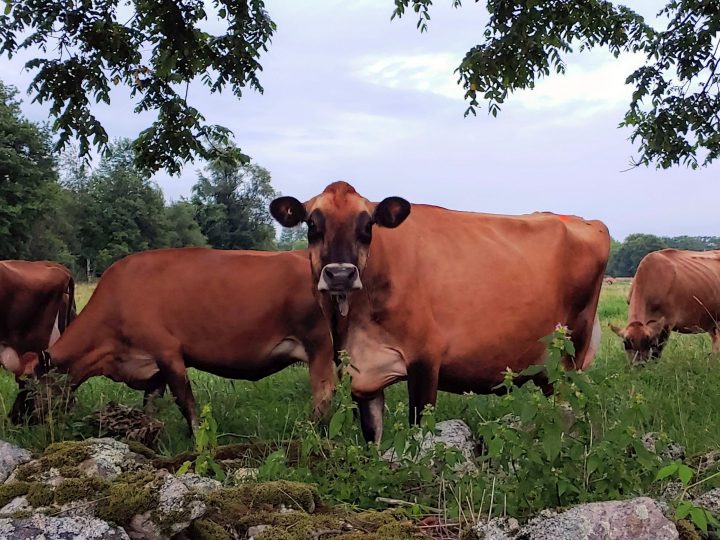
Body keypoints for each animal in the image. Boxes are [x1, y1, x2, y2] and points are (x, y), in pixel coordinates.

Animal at [11, 248, 336, 432]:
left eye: (28, 386)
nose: (14, 419)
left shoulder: (168, 353)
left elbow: (186, 404)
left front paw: (198, 441)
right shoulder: (152, 366)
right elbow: (149, 406)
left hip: (319, 342)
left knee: (324, 393)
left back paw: (310, 432)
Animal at [270, 181, 610, 443]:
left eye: (367, 226)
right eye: (313, 225)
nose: (340, 274)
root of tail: (586, 221)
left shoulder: (425, 358)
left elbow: (418, 432)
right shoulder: (360, 374)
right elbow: (372, 438)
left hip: (571, 356)